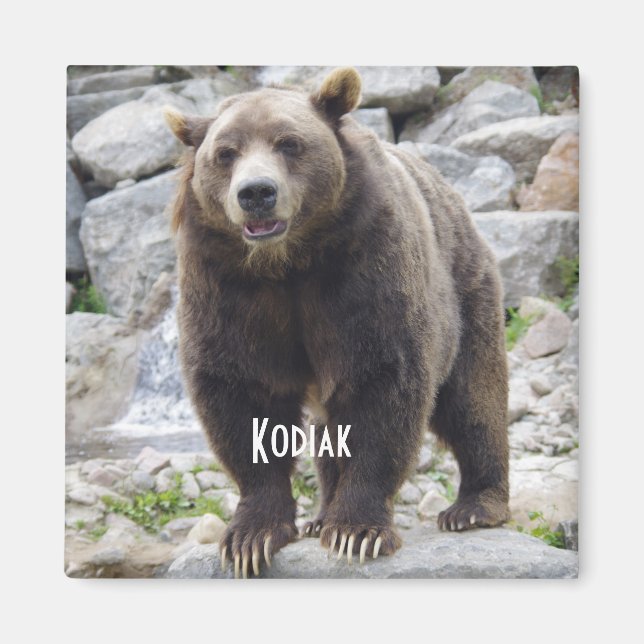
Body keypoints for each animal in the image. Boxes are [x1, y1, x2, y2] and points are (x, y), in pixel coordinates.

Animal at [165, 67, 510, 578]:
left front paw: (356, 531)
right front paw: (251, 537)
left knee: (473, 398)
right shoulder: (225, 285)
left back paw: (474, 506)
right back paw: (319, 515)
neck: (287, 263)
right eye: (225, 153)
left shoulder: (363, 266)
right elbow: (241, 393)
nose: (256, 193)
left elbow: (381, 382)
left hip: (467, 291)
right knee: (328, 430)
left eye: (289, 143)